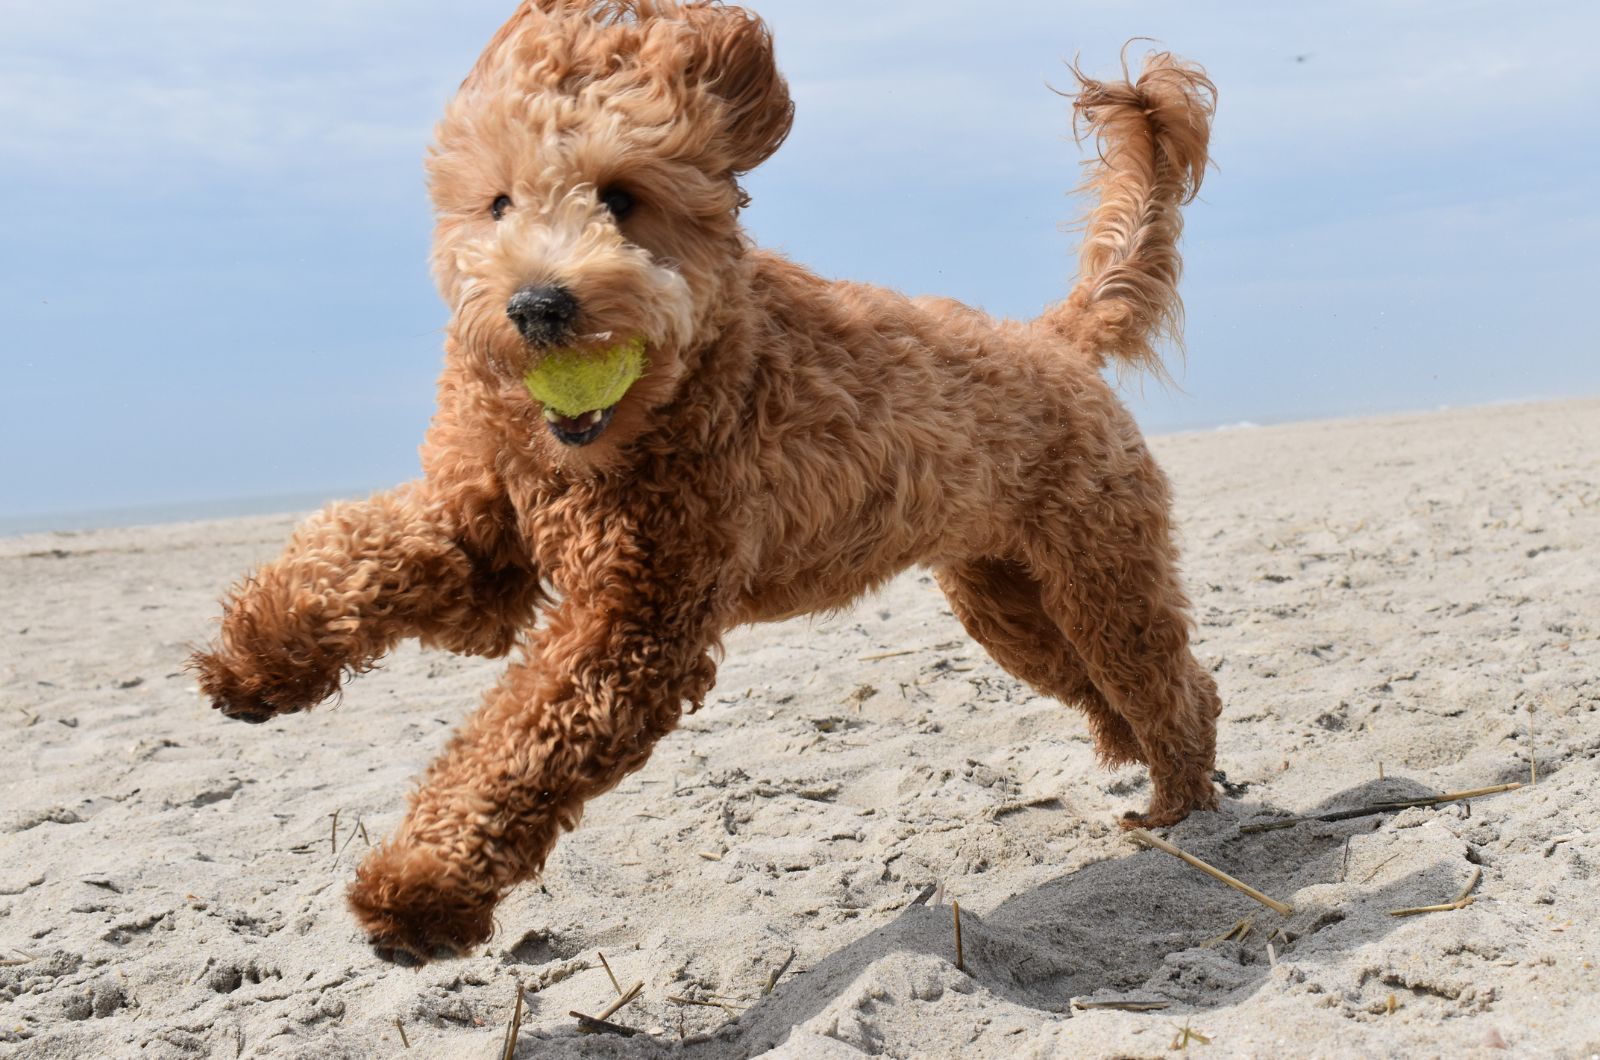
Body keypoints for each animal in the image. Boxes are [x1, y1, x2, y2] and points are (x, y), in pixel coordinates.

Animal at [196, 0, 1222, 960]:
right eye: (497, 203)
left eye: (621, 197)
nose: (537, 305)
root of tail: (1054, 338)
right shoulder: (483, 530)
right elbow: (356, 555)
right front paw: (257, 656)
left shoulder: (637, 620)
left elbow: (515, 748)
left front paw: (418, 890)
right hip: (1007, 600)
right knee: (1107, 683)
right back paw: (1138, 762)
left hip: (1100, 573)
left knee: (1173, 683)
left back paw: (1179, 802)